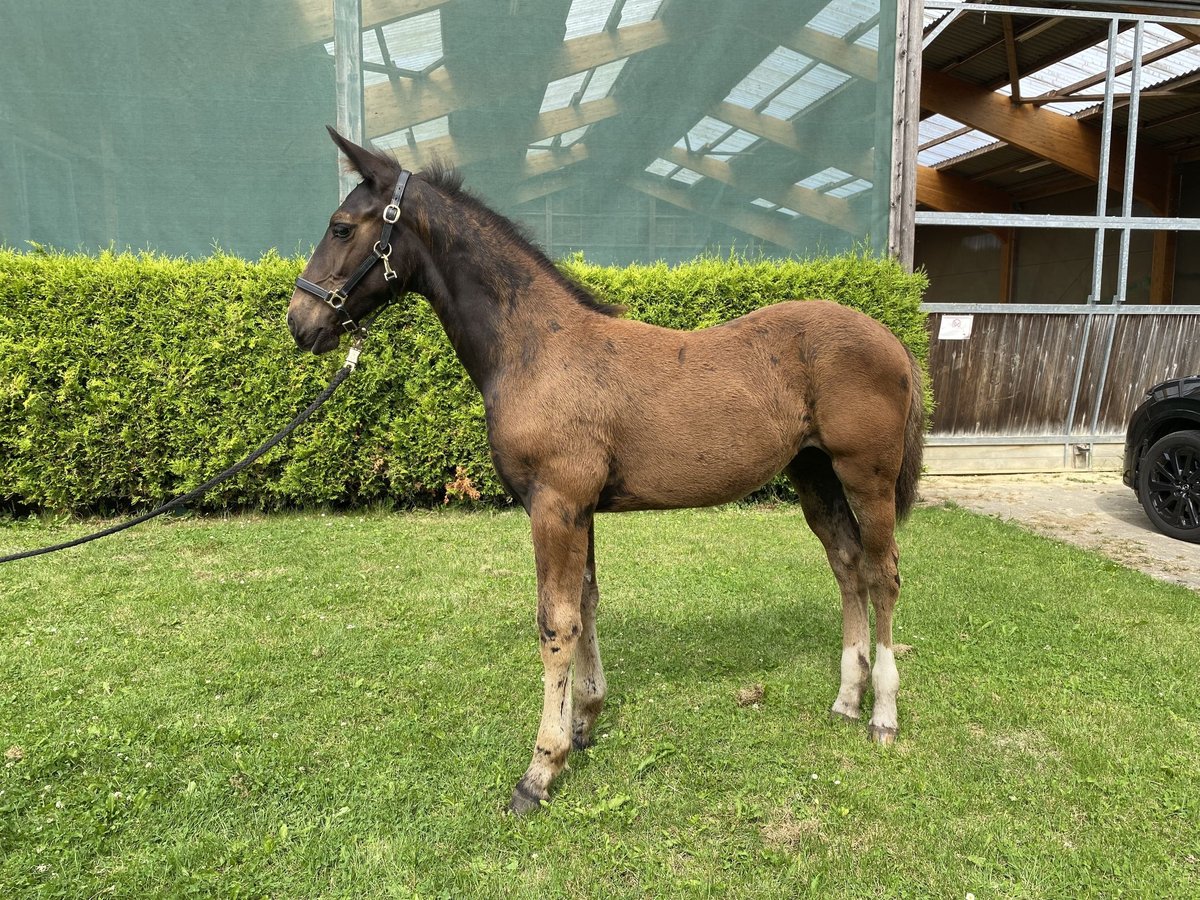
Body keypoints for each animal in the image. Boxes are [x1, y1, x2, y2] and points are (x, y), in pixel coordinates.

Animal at [285, 128, 921, 816]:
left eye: (341, 227)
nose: (300, 322)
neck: (536, 347)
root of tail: (891, 339)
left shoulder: (555, 503)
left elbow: (556, 622)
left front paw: (541, 769)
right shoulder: (578, 508)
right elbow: (587, 604)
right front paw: (585, 721)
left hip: (867, 476)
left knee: (882, 574)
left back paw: (883, 714)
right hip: (814, 475)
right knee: (847, 565)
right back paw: (847, 699)